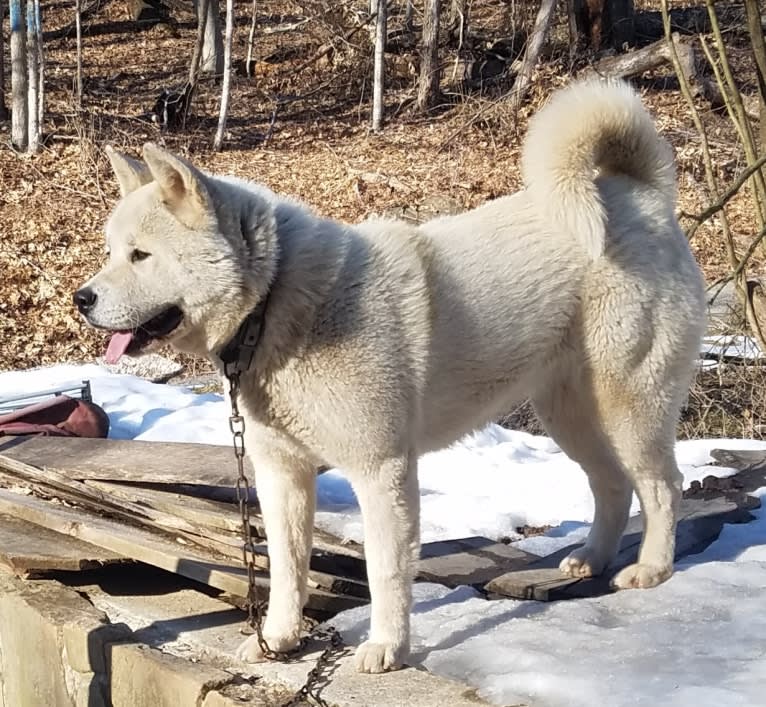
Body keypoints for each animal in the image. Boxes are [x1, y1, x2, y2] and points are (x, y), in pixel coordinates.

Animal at [76, 79, 708, 676]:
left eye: (140, 255)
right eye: (110, 251)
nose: (81, 299)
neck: (278, 298)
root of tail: (643, 197)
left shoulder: (380, 471)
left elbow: (384, 569)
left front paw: (386, 648)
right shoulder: (282, 475)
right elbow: (287, 564)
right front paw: (279, 640)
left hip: (628, 406)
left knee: (662, 485)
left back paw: (650, 569)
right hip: (570, 414)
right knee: (612, 484)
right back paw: (590, 559)